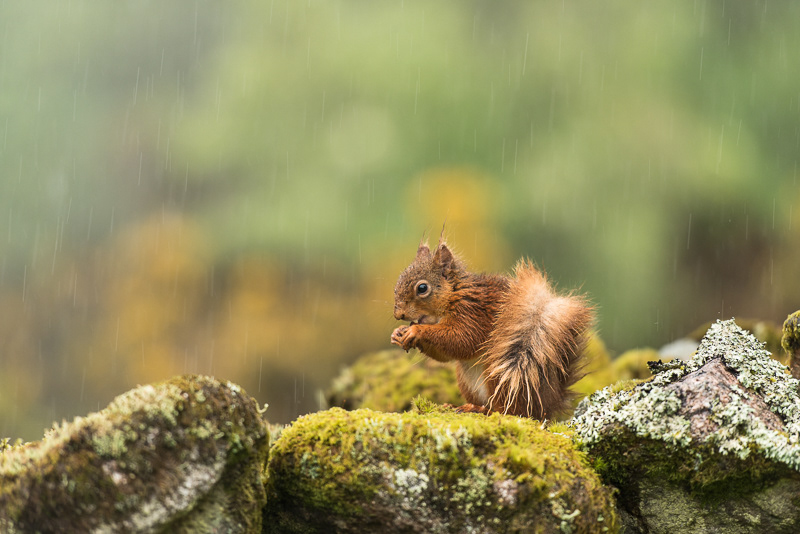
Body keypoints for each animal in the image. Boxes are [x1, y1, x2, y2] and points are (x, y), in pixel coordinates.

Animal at [390, 239, 593, 420]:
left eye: (422, 288)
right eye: (397, 283)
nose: (398, 314)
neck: (455, 293)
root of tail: (547, 407)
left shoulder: (473, 313)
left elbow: (462, 340)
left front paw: (416, 331)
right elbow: (446, 354)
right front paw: (397, 333)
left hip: (502, 375)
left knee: (508, 411)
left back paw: (480, 410)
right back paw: (460, 406)